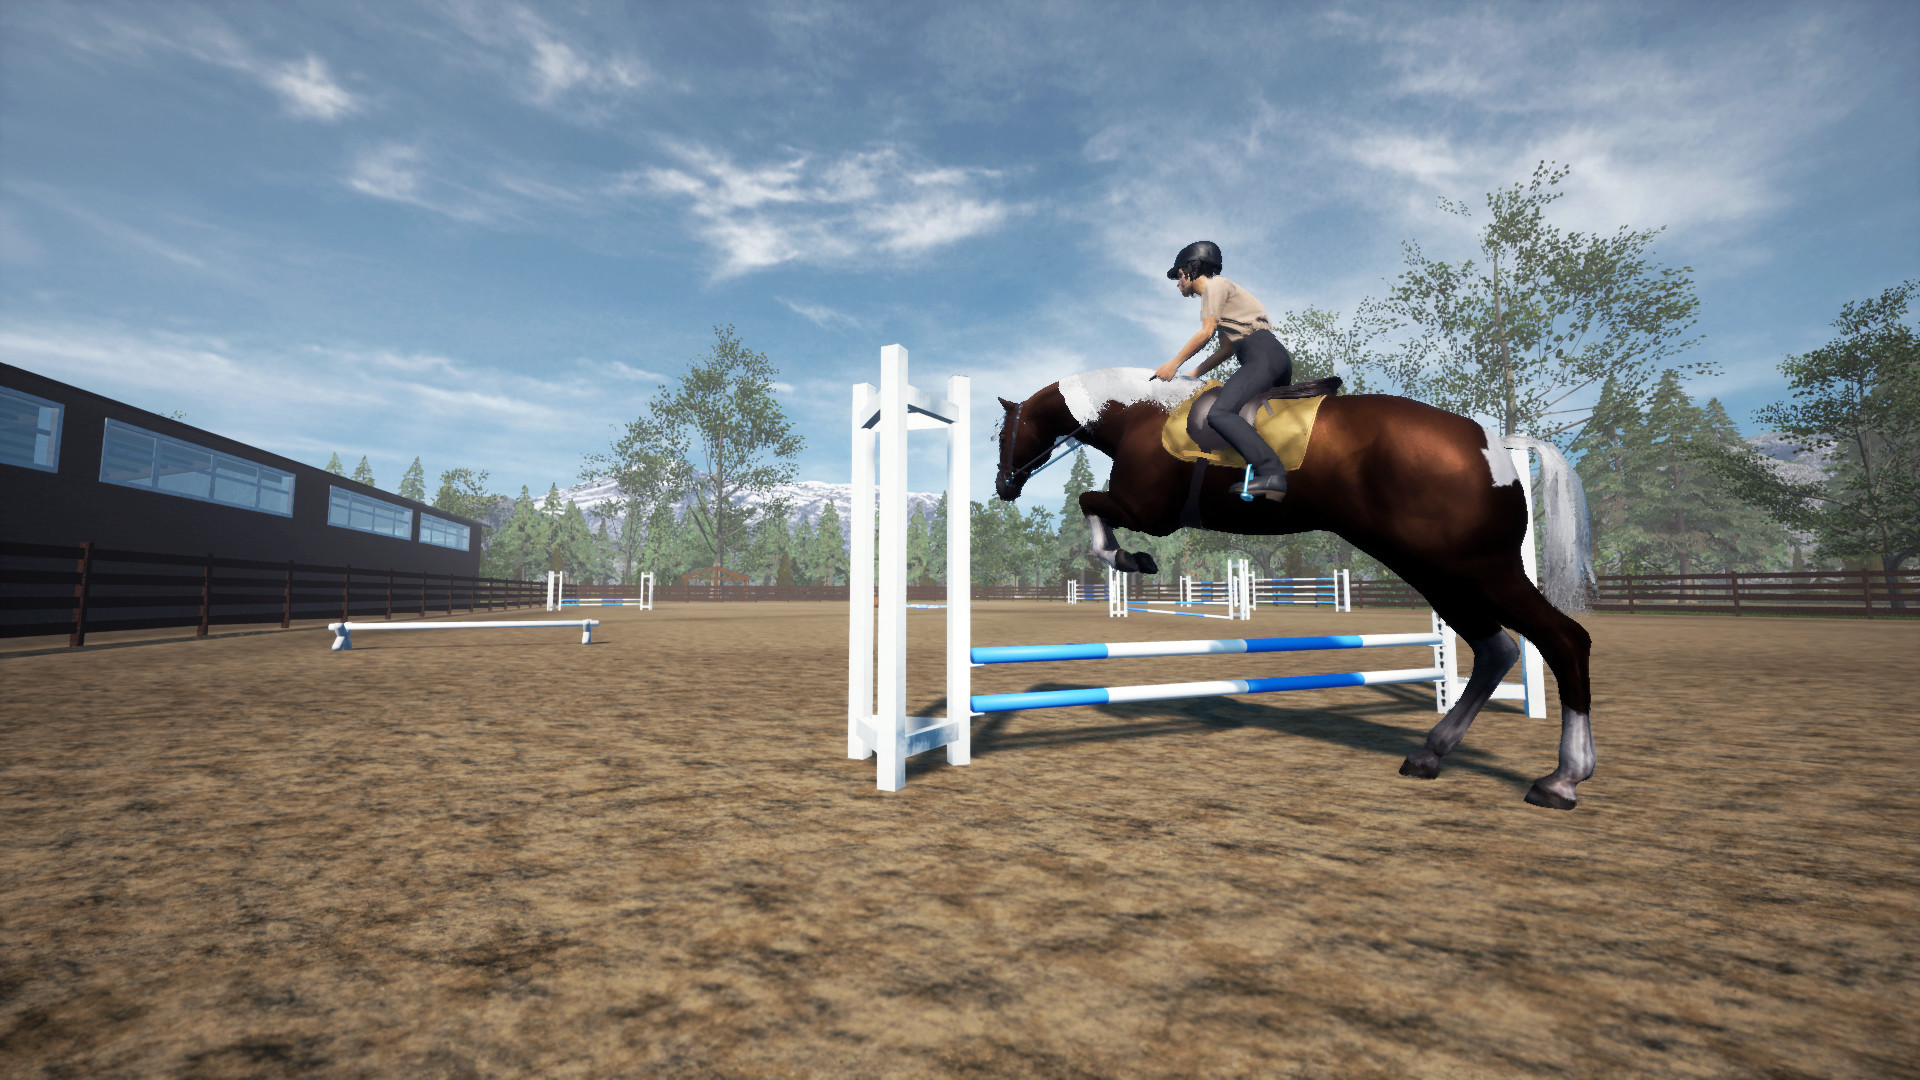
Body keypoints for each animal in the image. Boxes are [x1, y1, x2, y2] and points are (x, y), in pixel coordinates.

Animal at [994, 368, 1597, 810]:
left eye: (1003, 434)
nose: (1003, 486)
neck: (1137, 414)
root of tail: (1496, 445)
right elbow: (1092, 507)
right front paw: (1129, 558)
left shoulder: (1148, 511)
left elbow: (1091, 505)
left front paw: (1130, 558)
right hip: (1432, 568)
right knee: (1496, 649)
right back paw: (1430, 754)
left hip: (1476, 567)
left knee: (1563, 640)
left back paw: (1561, 780)